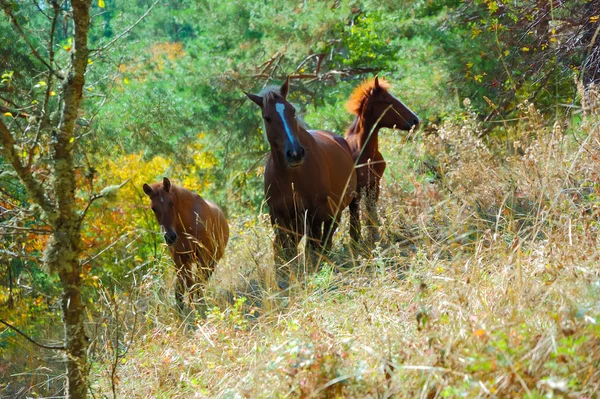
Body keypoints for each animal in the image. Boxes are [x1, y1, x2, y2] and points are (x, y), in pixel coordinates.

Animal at [143, 178, 230, 312]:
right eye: (153, 208)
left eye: (171, 203)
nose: (170, 237)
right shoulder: (179, 259)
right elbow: (183, 286)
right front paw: (184, 309)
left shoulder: (202, 257)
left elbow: (196, 283)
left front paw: (197, 306)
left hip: (211, 261)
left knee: (202, 281)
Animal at [244, 78, 356, 288]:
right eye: (267, 117)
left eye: (292, 110)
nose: (295, 153)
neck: (292, 177)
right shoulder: (279, 218)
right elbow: (287, 252)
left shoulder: (314, 214)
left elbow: (311, 249)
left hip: (333, 213)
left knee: (325, 241)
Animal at [344, 75, 420, 244]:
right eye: (388, 101)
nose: (416, 120)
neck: (366, 153)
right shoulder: (356, 192)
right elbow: (356, 221)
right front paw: (358, 243)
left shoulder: (374, 185)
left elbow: (371, 215)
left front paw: (375, 238)